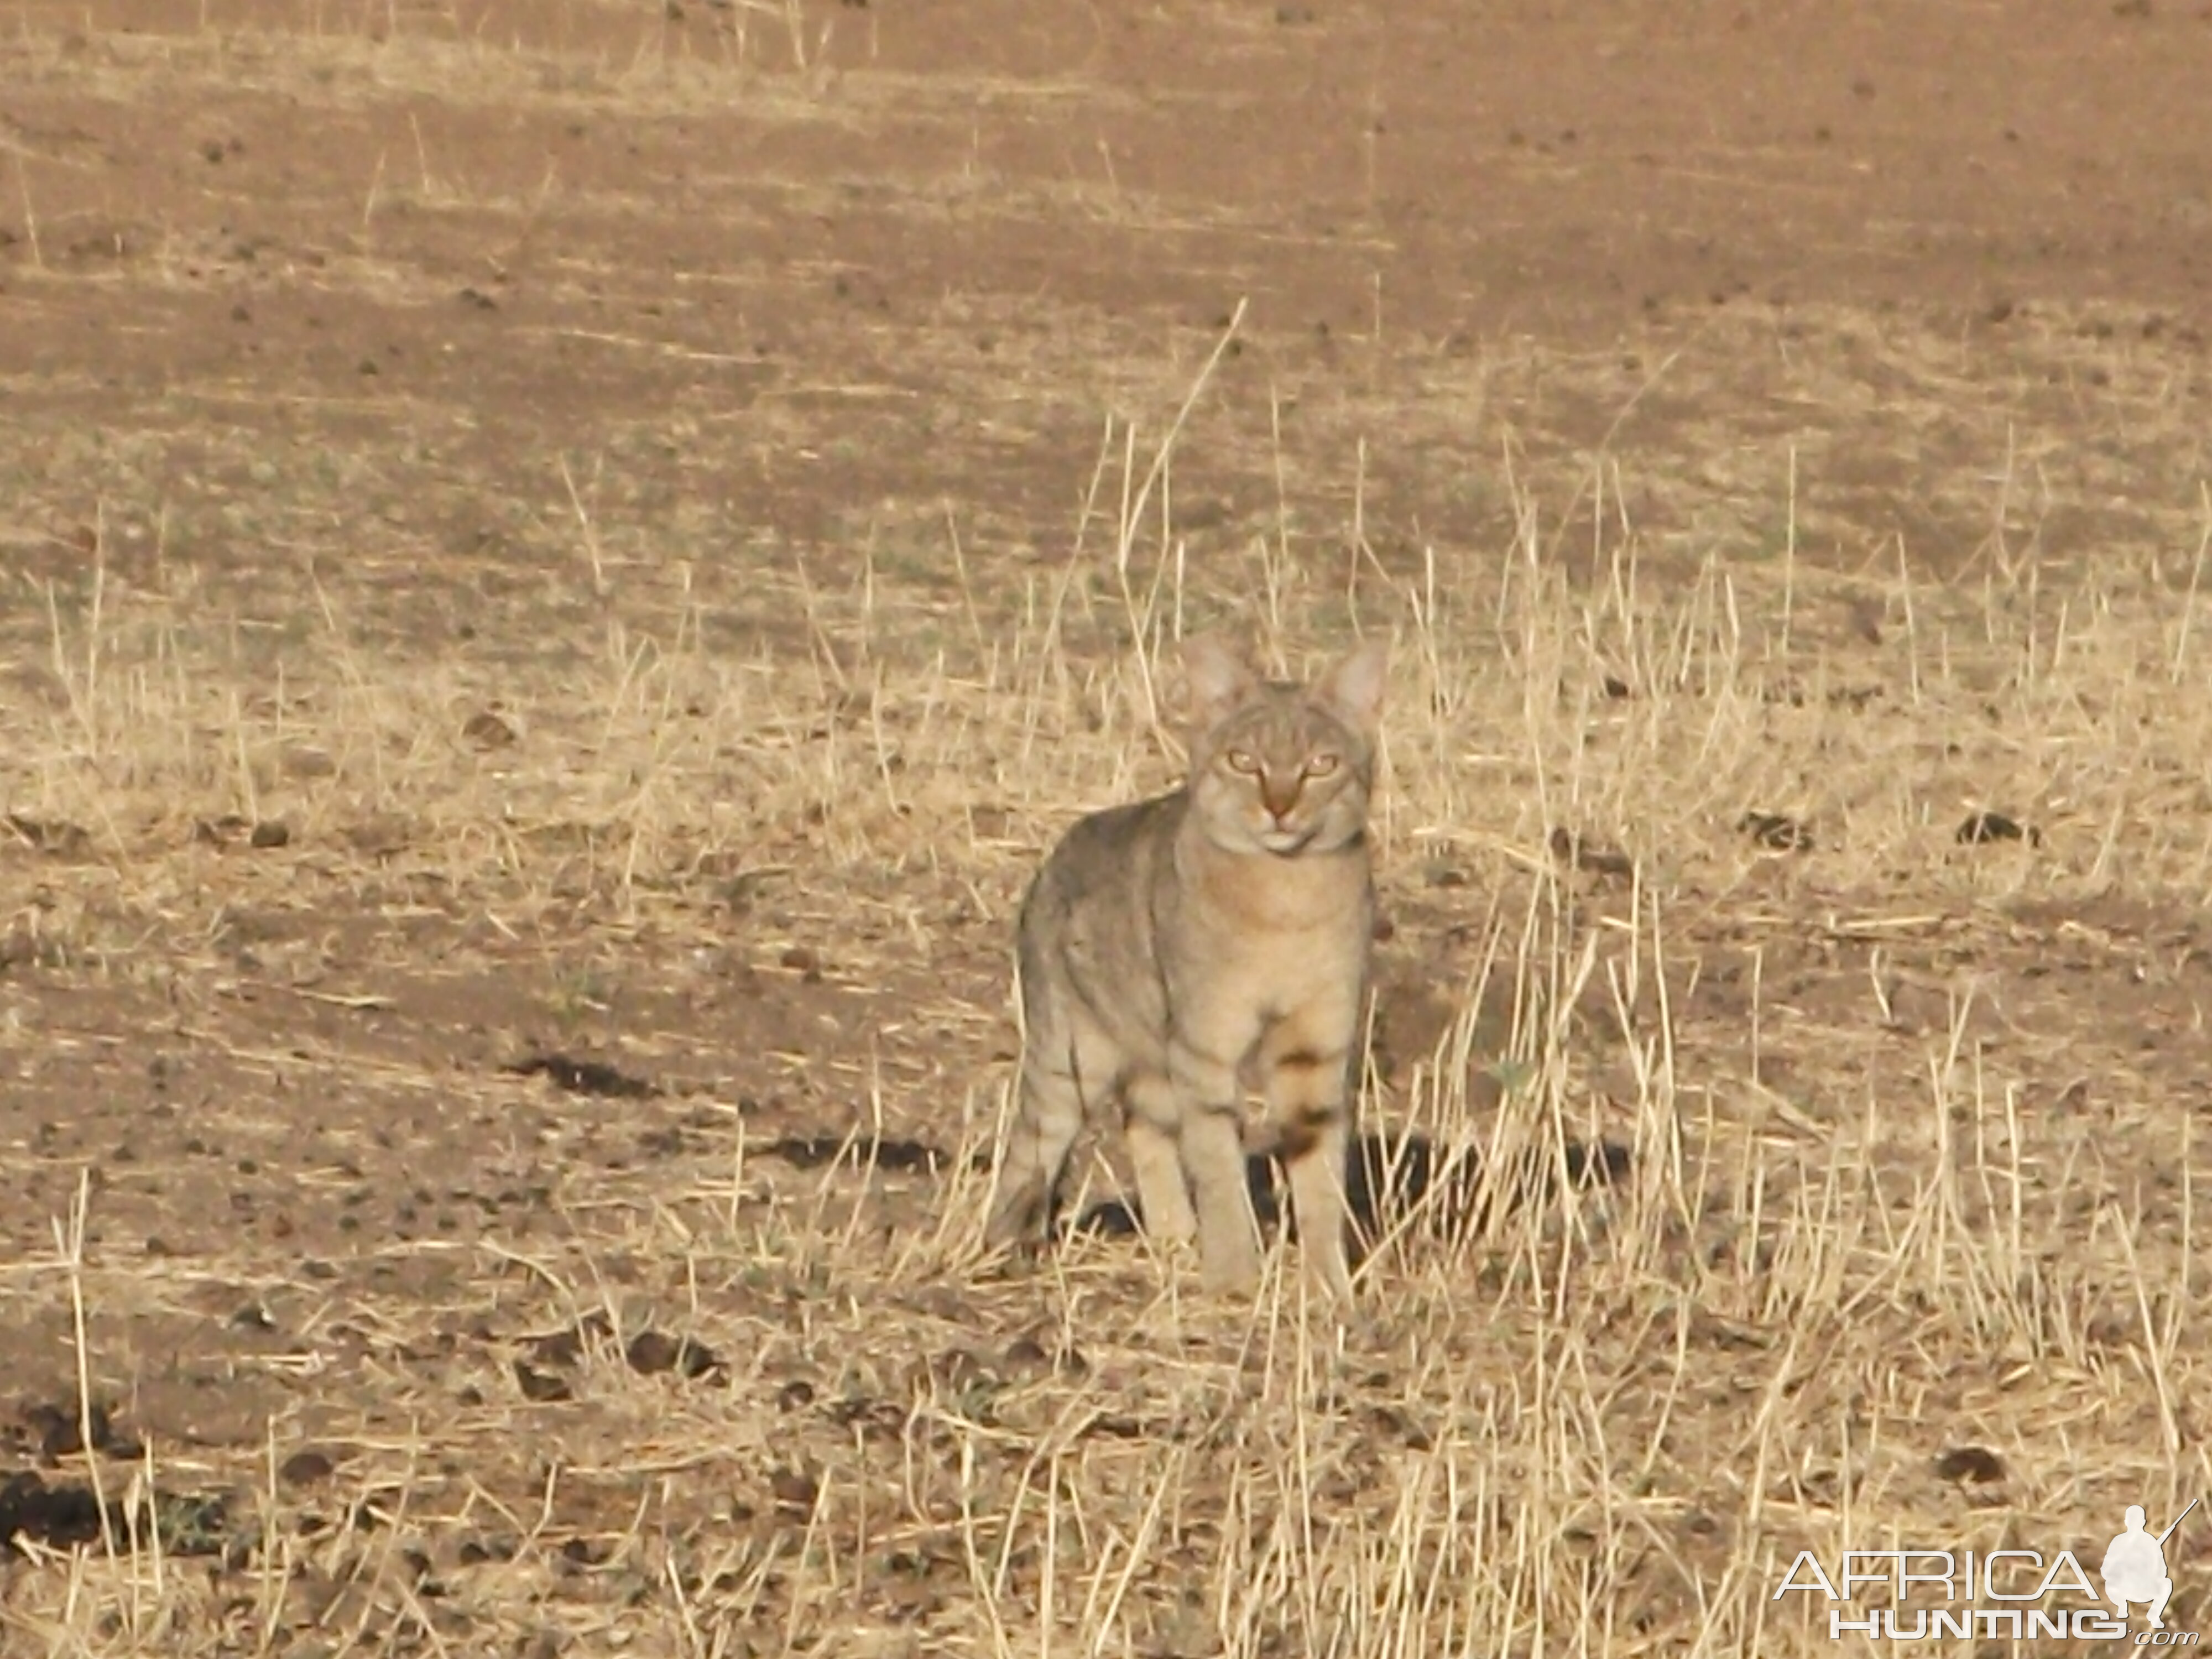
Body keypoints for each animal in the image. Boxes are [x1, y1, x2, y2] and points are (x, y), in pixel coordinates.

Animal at [995, 633, 1389, 1301]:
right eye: (1243, 760)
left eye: (1321, 765)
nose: (1279, 807)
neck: (1288, 904)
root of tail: (1048, 864)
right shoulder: (1206, 1048)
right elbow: (1218, 1166)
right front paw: (1233, 1276)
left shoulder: (1314, 1050)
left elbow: (1319, 1179)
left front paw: (1327, 1284)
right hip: (1069, 1062)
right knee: (1029, 1148)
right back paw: (994, 1245)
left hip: (1149, 1055)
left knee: (1143, 1127)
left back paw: (1174, 1240)